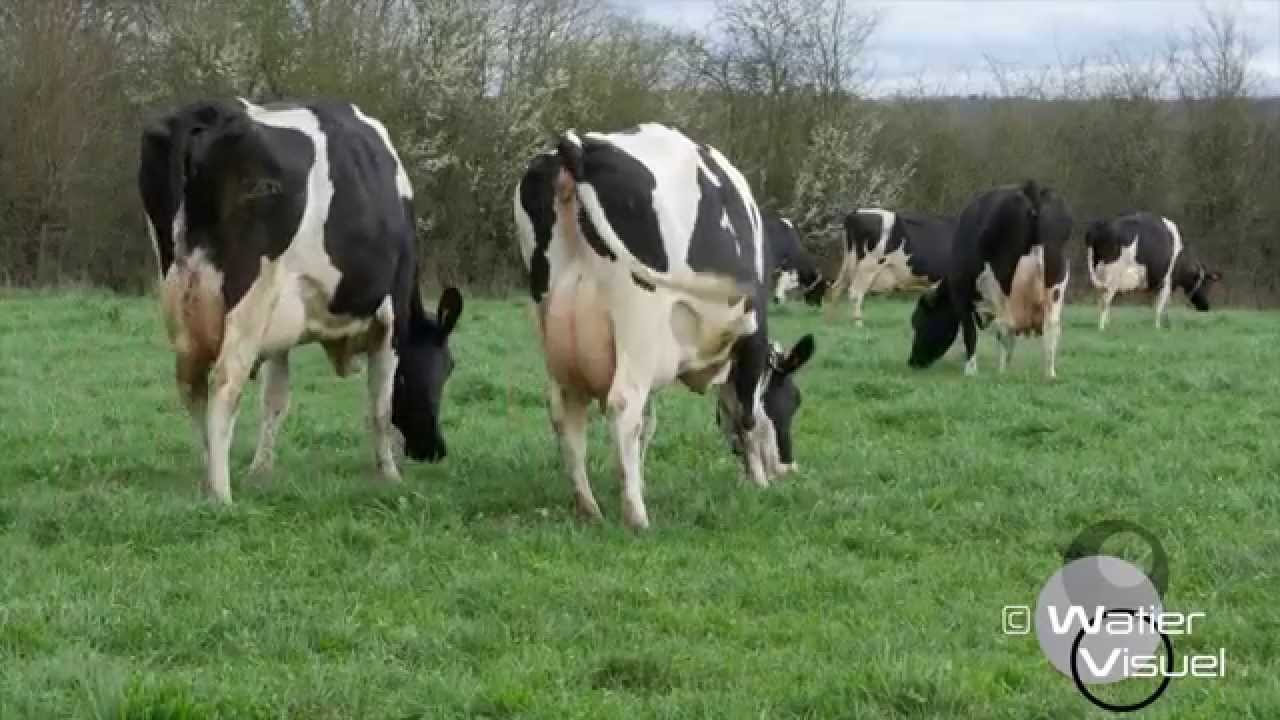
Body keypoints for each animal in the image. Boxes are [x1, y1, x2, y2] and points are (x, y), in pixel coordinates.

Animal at [138, 98, 464, 504]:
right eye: (445, 367)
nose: (434, 449)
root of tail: (211, 112)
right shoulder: (392, 318)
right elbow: (380, 404)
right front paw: (389, 474)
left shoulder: (282, 326)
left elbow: (275, 400)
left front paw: (261, 472)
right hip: (248, 302)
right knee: (224, 384)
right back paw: (222, 495)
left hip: (181, 304)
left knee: (191, 387)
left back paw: (207, 480)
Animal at [513, 123, 816, 530]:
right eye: (793, 400)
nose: (789, 467)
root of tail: (579, 146)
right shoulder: (752, 334)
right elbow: (747, 414)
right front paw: (758, 480)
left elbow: (652, 423)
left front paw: (637, 480)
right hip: (638, 316)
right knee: (623, 404)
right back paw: (636, 517)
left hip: (552, 323)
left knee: (566, 412)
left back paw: (589, 507)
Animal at [907, 181, 1071, 379]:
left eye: (918, 322)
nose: (913, 362)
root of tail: (1030, 188)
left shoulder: (962, 298)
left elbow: (970, 334)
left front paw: (971, 370)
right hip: (1056, 284)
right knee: (1051, 327)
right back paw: (1049, 374)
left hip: (1003, 287)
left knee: (1006, 327)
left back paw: (1001, 372)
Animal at [1084, 212, 1222, 330]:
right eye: (1205, 283)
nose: (1206, 306)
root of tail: (1101, 226)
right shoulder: (1166, 282)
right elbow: (1160, 306)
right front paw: (1157, 327)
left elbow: (1154, 305)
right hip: (1113, 275)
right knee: (1105, 301)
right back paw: (1102, 327)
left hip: (1098, 273)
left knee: (1101, 299)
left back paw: (1106, 323)